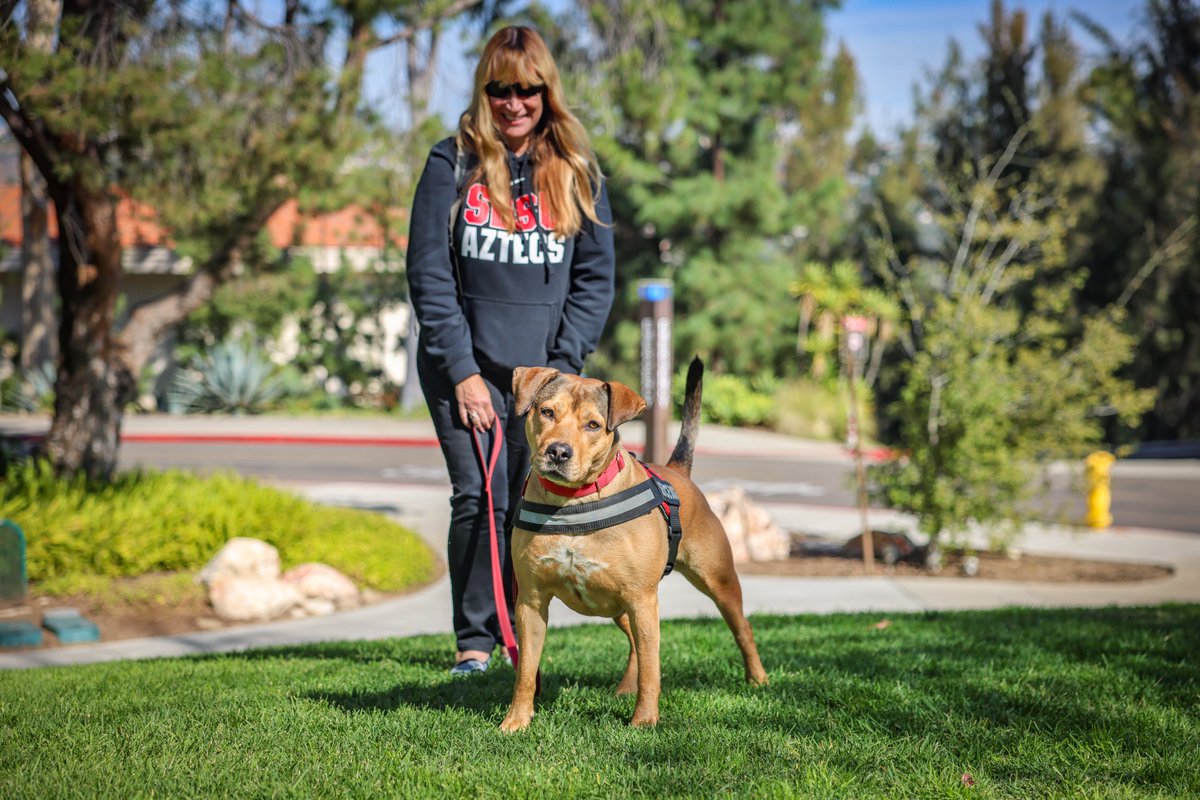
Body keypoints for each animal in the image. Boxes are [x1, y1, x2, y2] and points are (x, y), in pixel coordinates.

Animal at [499, 357, 768, 734]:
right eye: (547, 412)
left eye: (593, 425)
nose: (558, 451)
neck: (574, 502)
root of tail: (677, 472)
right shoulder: (531, 600)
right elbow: (525, 669)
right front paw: (517, 720)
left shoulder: (642, 598)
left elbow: (651, 671)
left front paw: (644, 720)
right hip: (618, 604)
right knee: (634, 646)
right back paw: (625, 687)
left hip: (715, 579)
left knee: (740, 627)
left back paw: (757, 678)